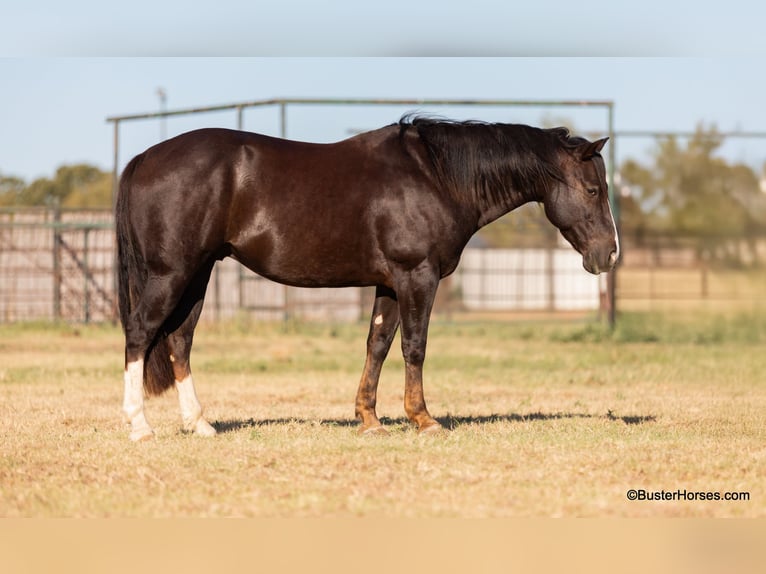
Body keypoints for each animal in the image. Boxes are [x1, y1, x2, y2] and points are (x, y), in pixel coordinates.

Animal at [116, 116, 619, 441]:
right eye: (593, 189)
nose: (609, 254)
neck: (434, 177)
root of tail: (145, 157)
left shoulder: (390, 283)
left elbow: (377, 344)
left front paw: (369, 418)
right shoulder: (417, 275)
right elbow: (414, 346)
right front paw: (423, 418)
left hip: (196, 276)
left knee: (179, 340)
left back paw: (199, 424)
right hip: (171, 275)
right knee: (140, 333)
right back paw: (139, 426)